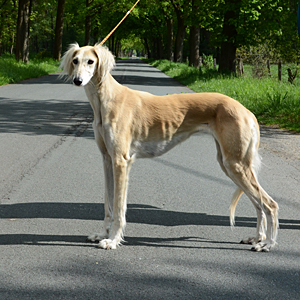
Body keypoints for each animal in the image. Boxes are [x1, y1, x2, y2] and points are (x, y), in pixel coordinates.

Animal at [59, 43, 278, 252]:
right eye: (75, 60)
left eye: (90, 61)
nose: (77, 80)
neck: (106, 100)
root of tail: (247, 111)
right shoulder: (107, 159)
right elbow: (108, 205)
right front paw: (102, 234)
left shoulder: (121, 161)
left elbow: (119, 207)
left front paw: (112, 240)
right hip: (230, 164)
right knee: (258, 204)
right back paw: (258, 238)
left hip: (235, 164)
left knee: (270, 204)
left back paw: (267, 244)